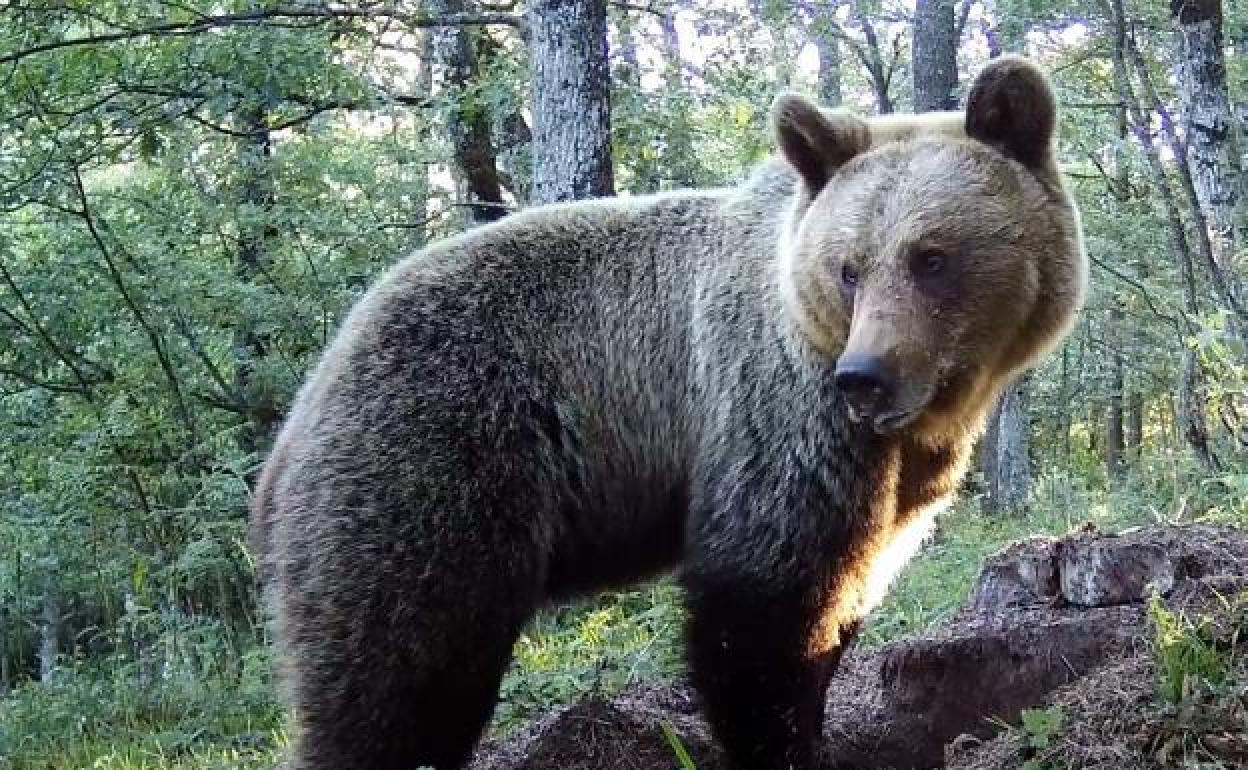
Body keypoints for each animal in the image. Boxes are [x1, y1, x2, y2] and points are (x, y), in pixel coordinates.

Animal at [251, 54, 1087, 770]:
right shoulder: (774, 412)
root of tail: (298, 418)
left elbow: (853, 587)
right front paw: (781, 740)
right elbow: (761, 604)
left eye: (931, 257)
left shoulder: (898, 475)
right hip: (434, 465)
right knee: (400, 670)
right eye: (849, 268)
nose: (865, 377)